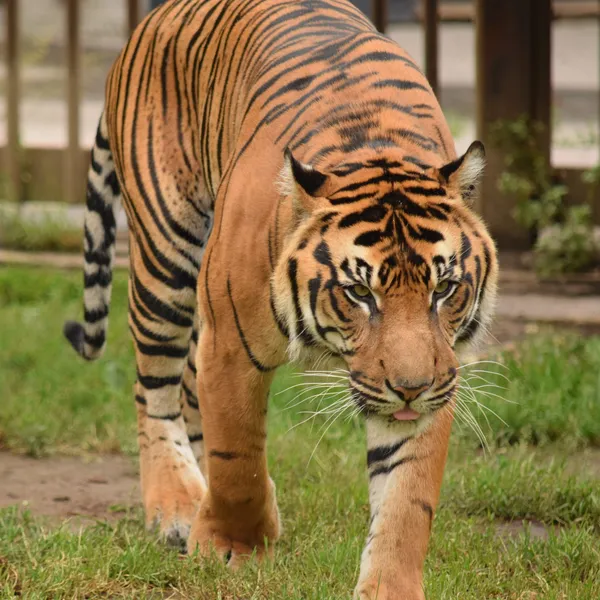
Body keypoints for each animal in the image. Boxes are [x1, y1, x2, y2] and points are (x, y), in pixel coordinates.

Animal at [63, 1, 500, 596]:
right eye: (359, 292)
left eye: (444, 289)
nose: (410, 389)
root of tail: (152, 19)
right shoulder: (229, 343)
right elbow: (237, 457)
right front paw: (233, 547)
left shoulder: (439, 370)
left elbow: (407, 500)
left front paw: (388, 586)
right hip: (165, 256)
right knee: (152, 389)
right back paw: (175, 507)